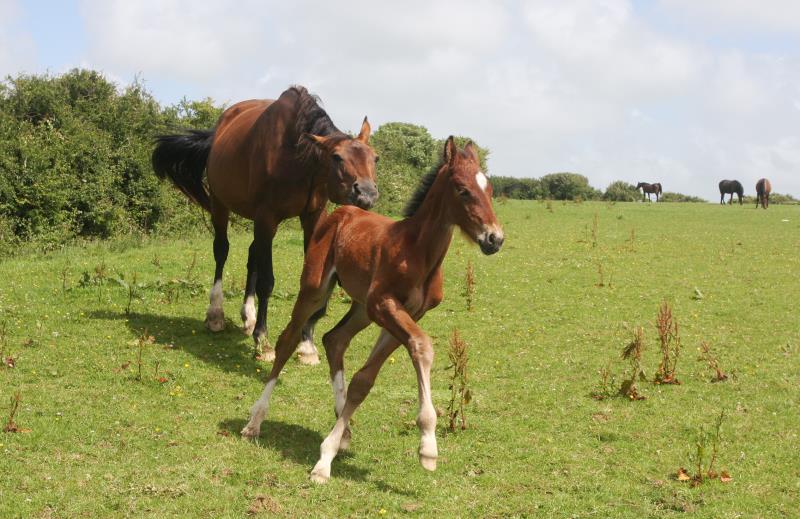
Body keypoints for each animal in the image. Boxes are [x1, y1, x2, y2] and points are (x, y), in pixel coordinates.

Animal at [156, 86, 382, 362]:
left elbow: (314, 280)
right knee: (221, 251)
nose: (367, 194)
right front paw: (263, 340)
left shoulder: (313, 218)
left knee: (252, 255)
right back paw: (216, 314)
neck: (298, 158)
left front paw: (306, 343)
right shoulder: (267, 218)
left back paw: (249, 316)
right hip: (221, 205)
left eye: (375, 158)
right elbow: (266, 281)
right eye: (337, 157)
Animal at [241, 139, 506, 484]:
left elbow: (364, 380)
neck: (418, 251)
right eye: (462, 190)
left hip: (361, 309)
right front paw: (427, 448)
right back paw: (255, 421)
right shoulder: (383, 304)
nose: (494, 238)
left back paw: (343, 426)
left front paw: (333, 445)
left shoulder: (406, 314)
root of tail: (341, 210)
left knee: (334, 339)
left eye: (489, 189)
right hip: (317, 289)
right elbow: (422, 346)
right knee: (288, 340)